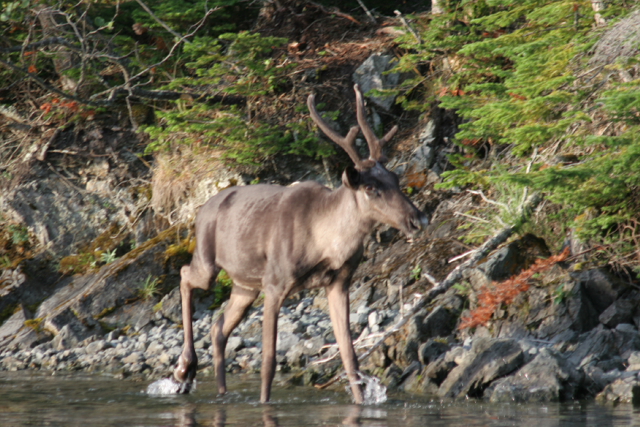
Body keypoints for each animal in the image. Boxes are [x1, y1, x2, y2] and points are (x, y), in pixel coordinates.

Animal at [170, 84, 428, 404]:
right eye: (370, 188)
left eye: (395, 178)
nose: (418, 218)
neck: (325, 244)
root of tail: (202, 209)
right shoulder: (275, 284)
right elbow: (269, 361)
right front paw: (264, 403)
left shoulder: (339, 282)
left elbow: (349, 355)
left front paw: (360, 401)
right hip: (209, 262)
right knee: (185, 275)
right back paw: (184, 367)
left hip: (245, 286)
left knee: (218, 327)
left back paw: (218, 390)